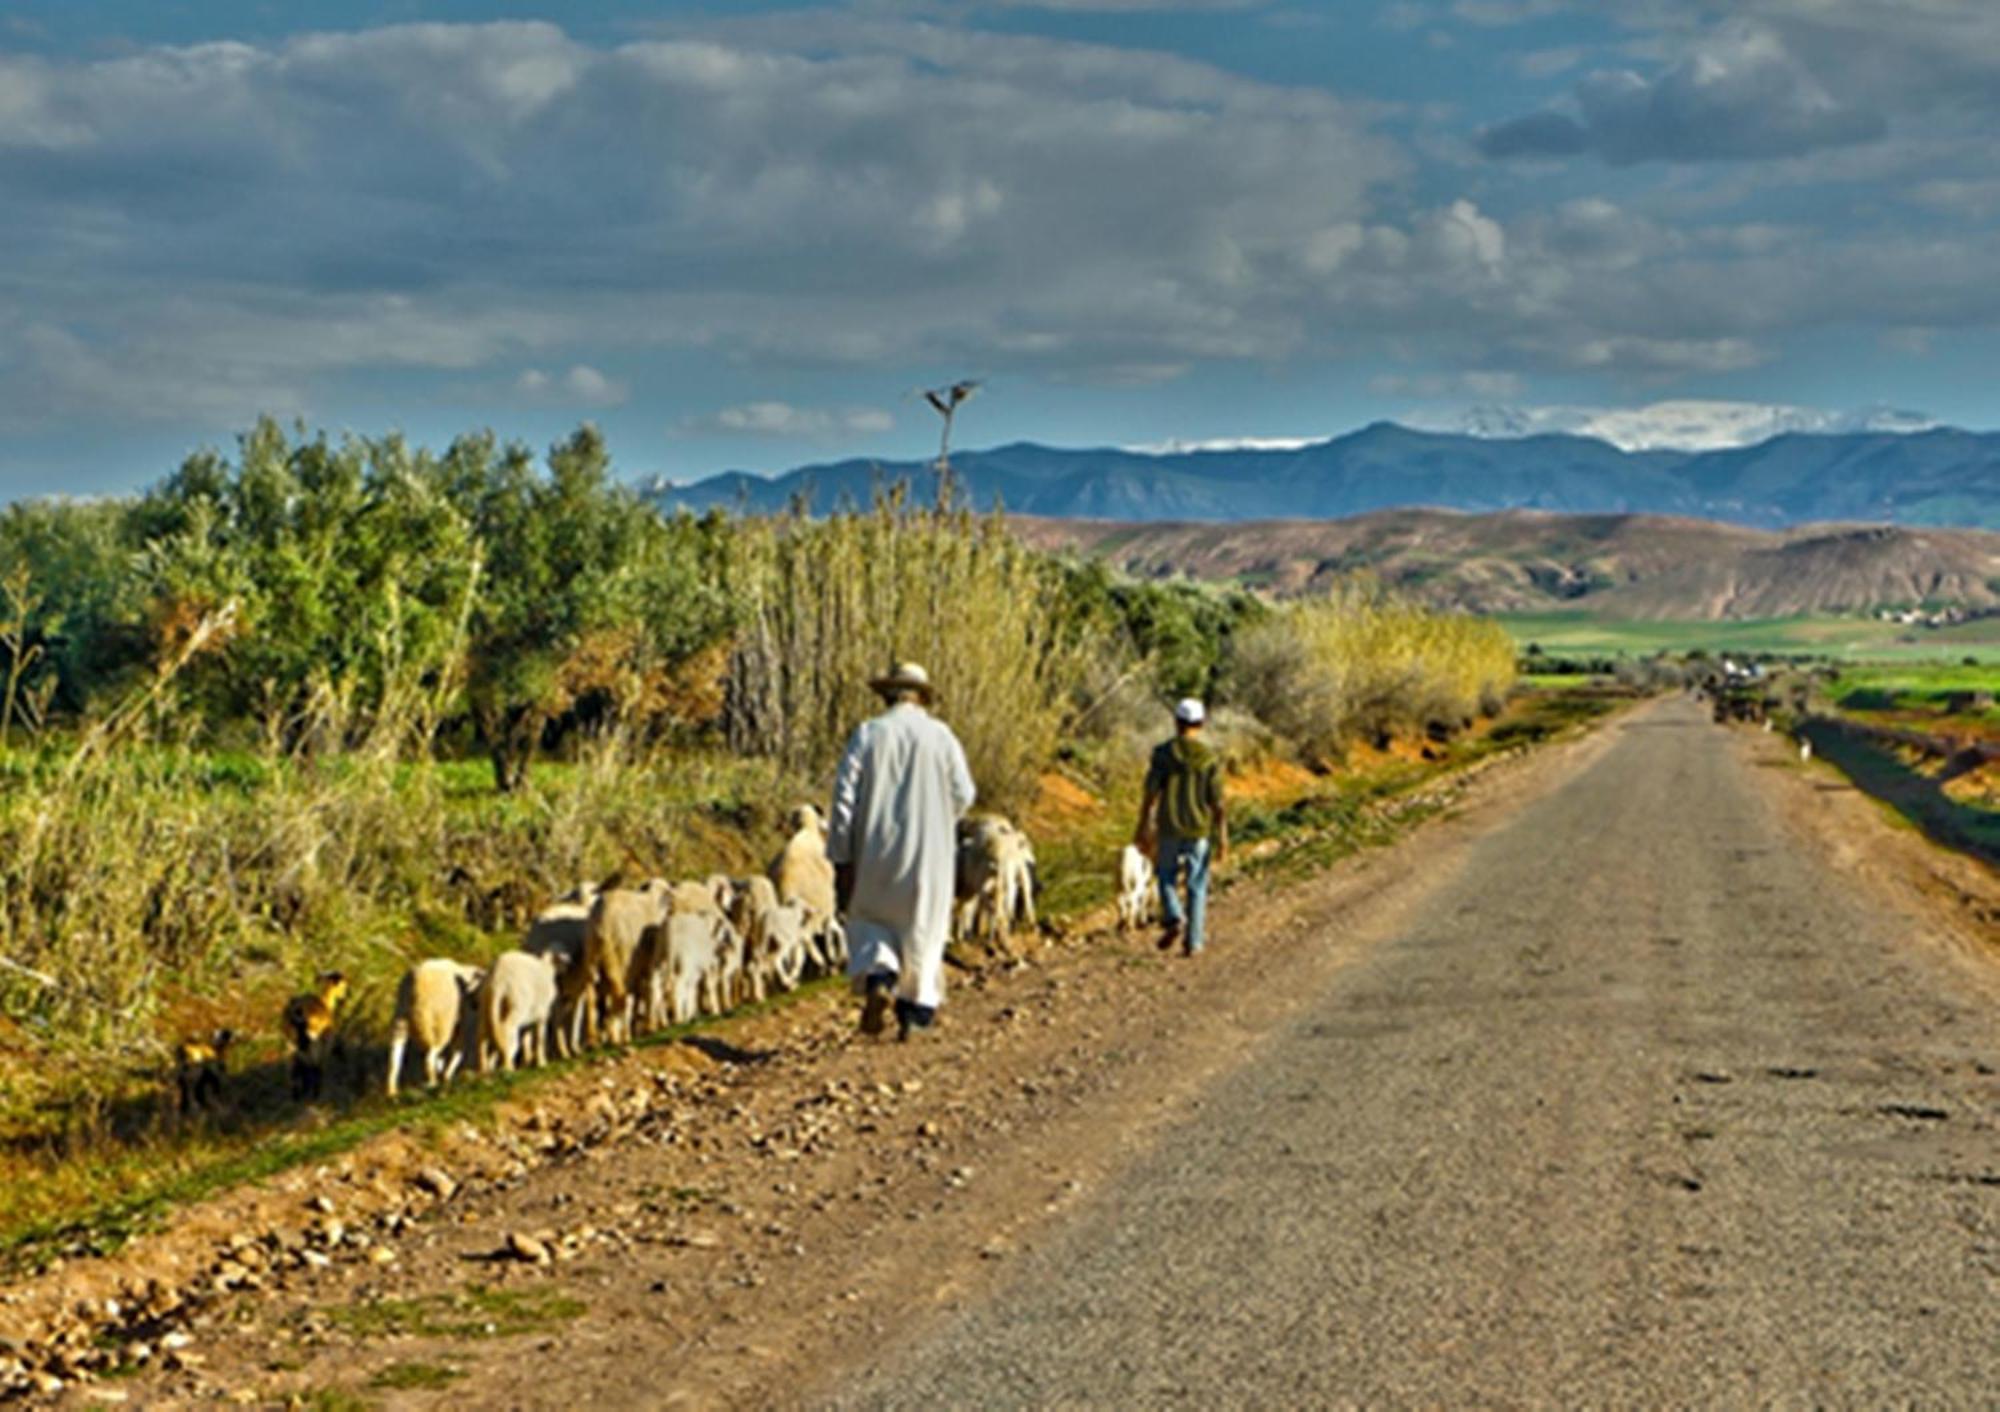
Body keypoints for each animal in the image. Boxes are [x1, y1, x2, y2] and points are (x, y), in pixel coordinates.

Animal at [284, 968, 350, 1104]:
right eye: (344, 985)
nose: (347, 995)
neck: (325, 1002)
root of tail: (297, 1014)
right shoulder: (326, 1042)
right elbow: (321, 1065)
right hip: (313, 1042)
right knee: (313, 1067)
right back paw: (313, 1094)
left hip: (290, 1045)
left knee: (292, 1071)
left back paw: (296, 1097)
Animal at [386, 956, 488, 1104]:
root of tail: (417, 981)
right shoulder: (466, 1025)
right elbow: (460, 1050)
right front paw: (447, 1075)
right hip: (441, 1021)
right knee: (430, 1056)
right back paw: (433, 1083)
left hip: (401, 1019)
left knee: (394, 1058)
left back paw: (392, 1092)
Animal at [584, 880, 676, 1048]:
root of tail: (602, 923)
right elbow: (652, 987)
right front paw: (652, 1027)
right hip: (621, 955)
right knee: (620, 994)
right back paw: (618, 1038)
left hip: (590, 953)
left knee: (592, 996)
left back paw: (594, 1041)